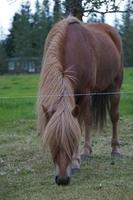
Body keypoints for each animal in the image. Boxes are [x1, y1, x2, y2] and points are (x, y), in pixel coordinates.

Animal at [36, 16, 123, 186]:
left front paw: (78, 160)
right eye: (52, 143)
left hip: (115, 87)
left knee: (113, 116)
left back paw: (114, 149)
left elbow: (82, 123)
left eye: (71, 140)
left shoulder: (85, 93)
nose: (62, 179)